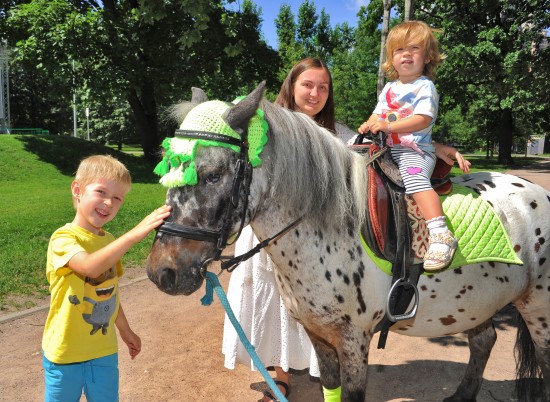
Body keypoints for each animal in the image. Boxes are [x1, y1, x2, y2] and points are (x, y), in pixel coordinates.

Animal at [147, 83, 550, 400]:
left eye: (214, 175)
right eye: (166, 169)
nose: (162, 273)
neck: (325, 227)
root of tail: (538, 192)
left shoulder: (354, 339)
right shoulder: (318, 333)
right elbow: (330, 387)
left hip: (538, 309)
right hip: (480, 302)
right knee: (484, 342)